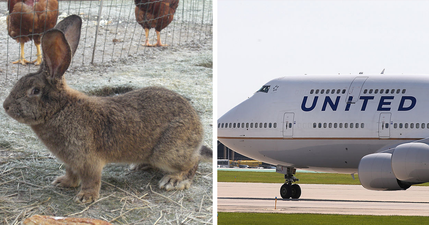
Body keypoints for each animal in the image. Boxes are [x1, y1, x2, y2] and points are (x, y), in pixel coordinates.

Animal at [2, 14, 211, 203]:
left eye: (35, 90)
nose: (6, 106)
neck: (60, 109)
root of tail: (198, 128)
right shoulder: (71, 161)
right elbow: (71, 174)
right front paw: (63, 182)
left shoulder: (88, 160)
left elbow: (91, 179)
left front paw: (85, 197)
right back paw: (140, 166)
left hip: (167, 152)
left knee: (192, 162)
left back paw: (174, 181)